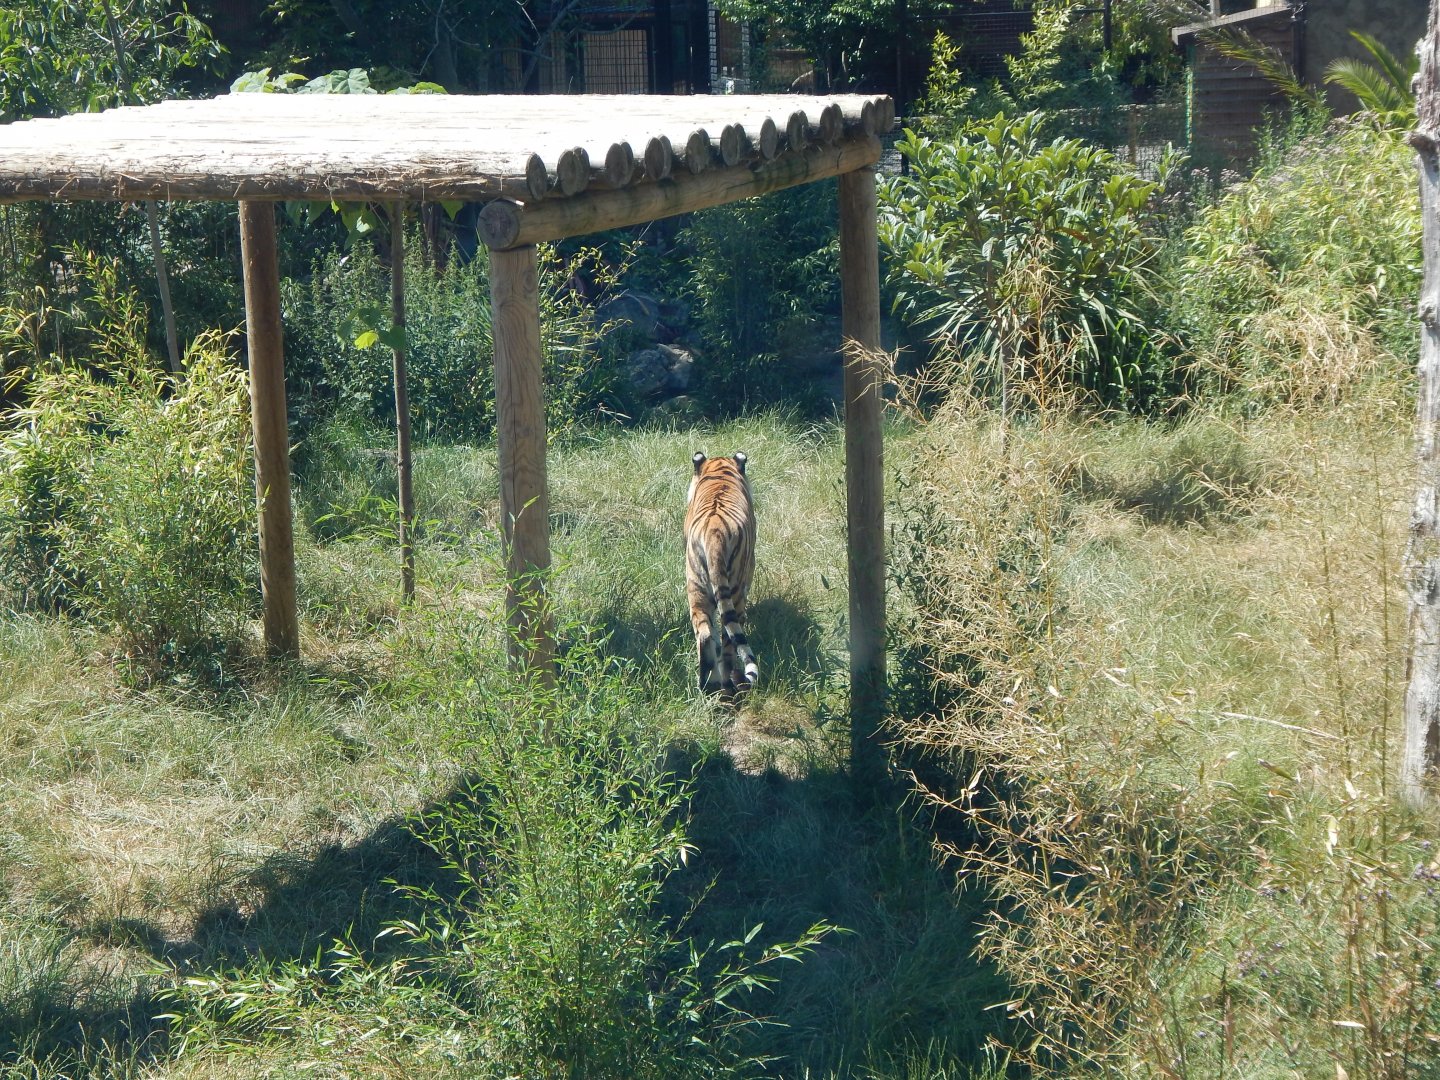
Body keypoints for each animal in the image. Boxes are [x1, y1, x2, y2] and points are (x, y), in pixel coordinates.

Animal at [684, 451, 758, 696]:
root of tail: (714, 535)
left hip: (695, 585)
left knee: (705, 633)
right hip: (735, 590)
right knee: (728, 644)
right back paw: (728, 683)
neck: (719, 468)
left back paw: (709, 685)